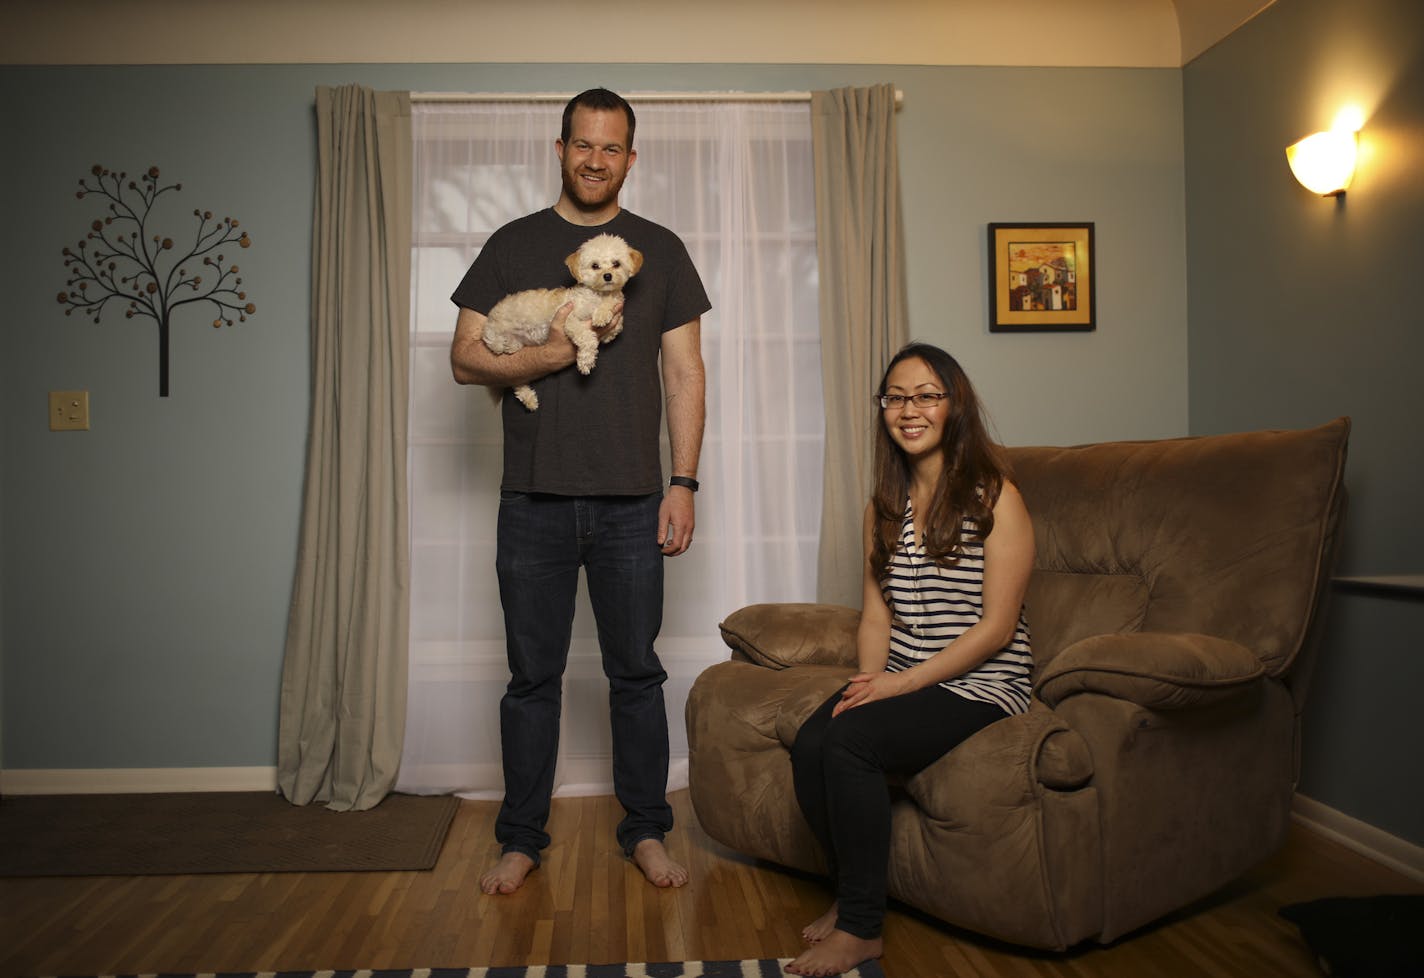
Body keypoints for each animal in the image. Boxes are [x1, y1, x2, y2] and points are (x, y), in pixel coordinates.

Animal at [481, 233, 643, 409]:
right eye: (595, 266)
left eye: (616, 264)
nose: (608, 276)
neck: (599, 296)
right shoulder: (570, 319)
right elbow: (587, 339)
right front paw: (586, 361)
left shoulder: (615, 311)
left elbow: (616, 326)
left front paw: (602, 316)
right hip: (496, 340)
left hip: (515, 348)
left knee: (517, 380)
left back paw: (529, 398)